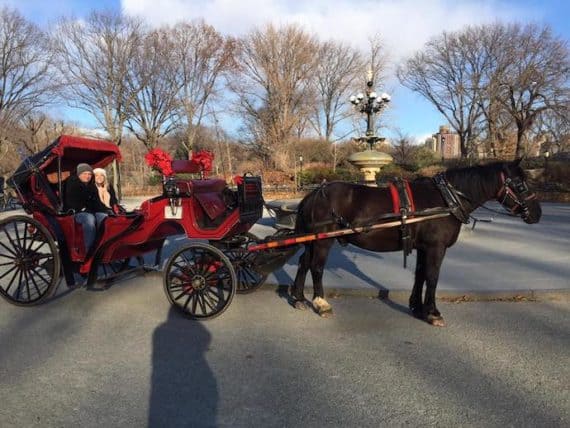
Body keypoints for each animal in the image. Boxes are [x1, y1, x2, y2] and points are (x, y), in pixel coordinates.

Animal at [290, 160, 540, 324]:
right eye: (520, 184)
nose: (537, 214)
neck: (447, 200)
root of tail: (314, 194)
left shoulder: (424, 247)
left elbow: (420, 274)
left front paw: (417, 307)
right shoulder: (436, 248)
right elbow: (433, 277)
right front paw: (433, 312)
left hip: (313, 240)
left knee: (304, 262)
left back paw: (299, 298)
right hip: (324, 241)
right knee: (316, 267)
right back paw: (321, 303)